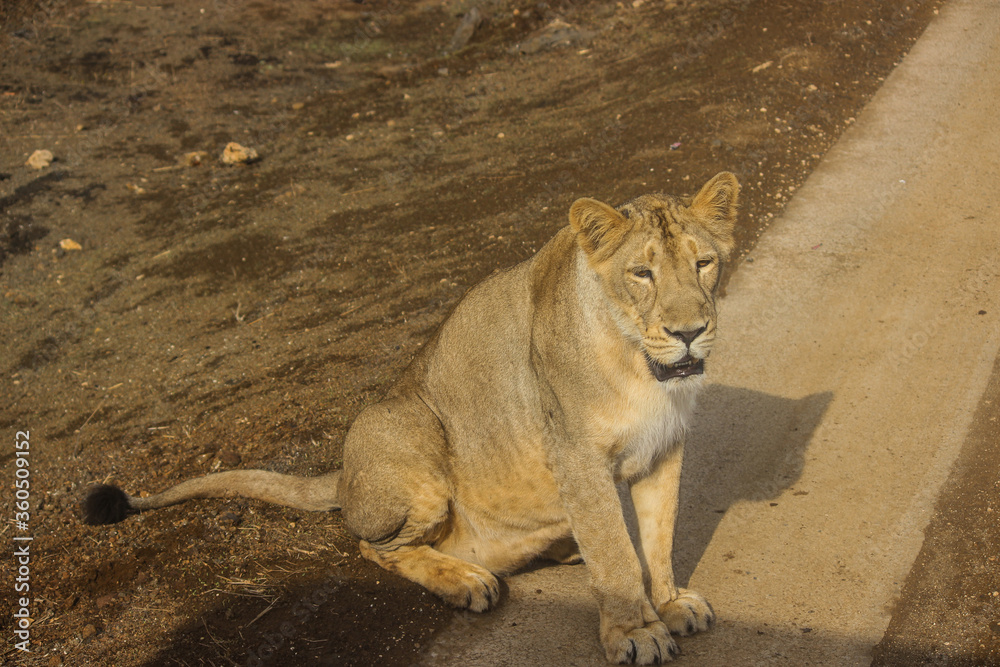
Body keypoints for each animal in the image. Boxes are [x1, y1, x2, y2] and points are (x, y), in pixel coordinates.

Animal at [84, 171, 739, 664]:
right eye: (642, 273)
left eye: (703, 263)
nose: (689, 332)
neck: (642, 367)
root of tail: (343, 477)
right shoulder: (576, 457)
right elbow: (615, 553)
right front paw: (636, 633)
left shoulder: (663, 449)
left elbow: (657, 536)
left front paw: (670, 603)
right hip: (408, 438)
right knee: (372, 546)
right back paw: (468, 580)